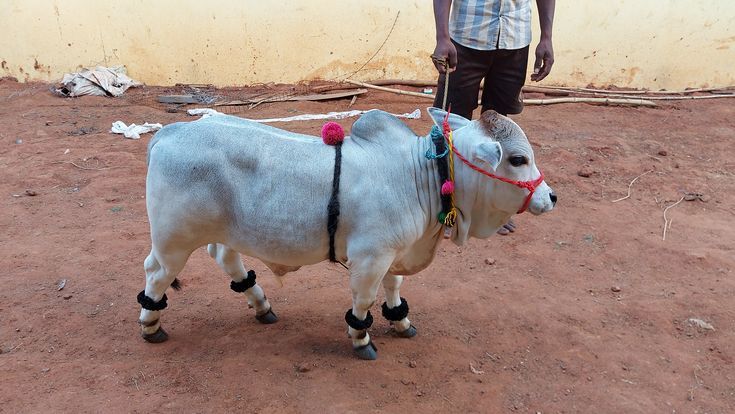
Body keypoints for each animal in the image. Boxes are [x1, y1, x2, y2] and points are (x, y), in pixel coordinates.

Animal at [137, 107, 556, 360]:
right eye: (518, 159)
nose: (550, 196)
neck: (417, 174)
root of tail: (170, 133)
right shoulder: (370, 257)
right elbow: (365, 300)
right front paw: (361, 339)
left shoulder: (394, 254)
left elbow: (394, 288)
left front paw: (401, 321)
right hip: (173, 240)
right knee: (157, 273)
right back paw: (151, 324)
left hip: (224, 232)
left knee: (225, 258)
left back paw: (261, 305)